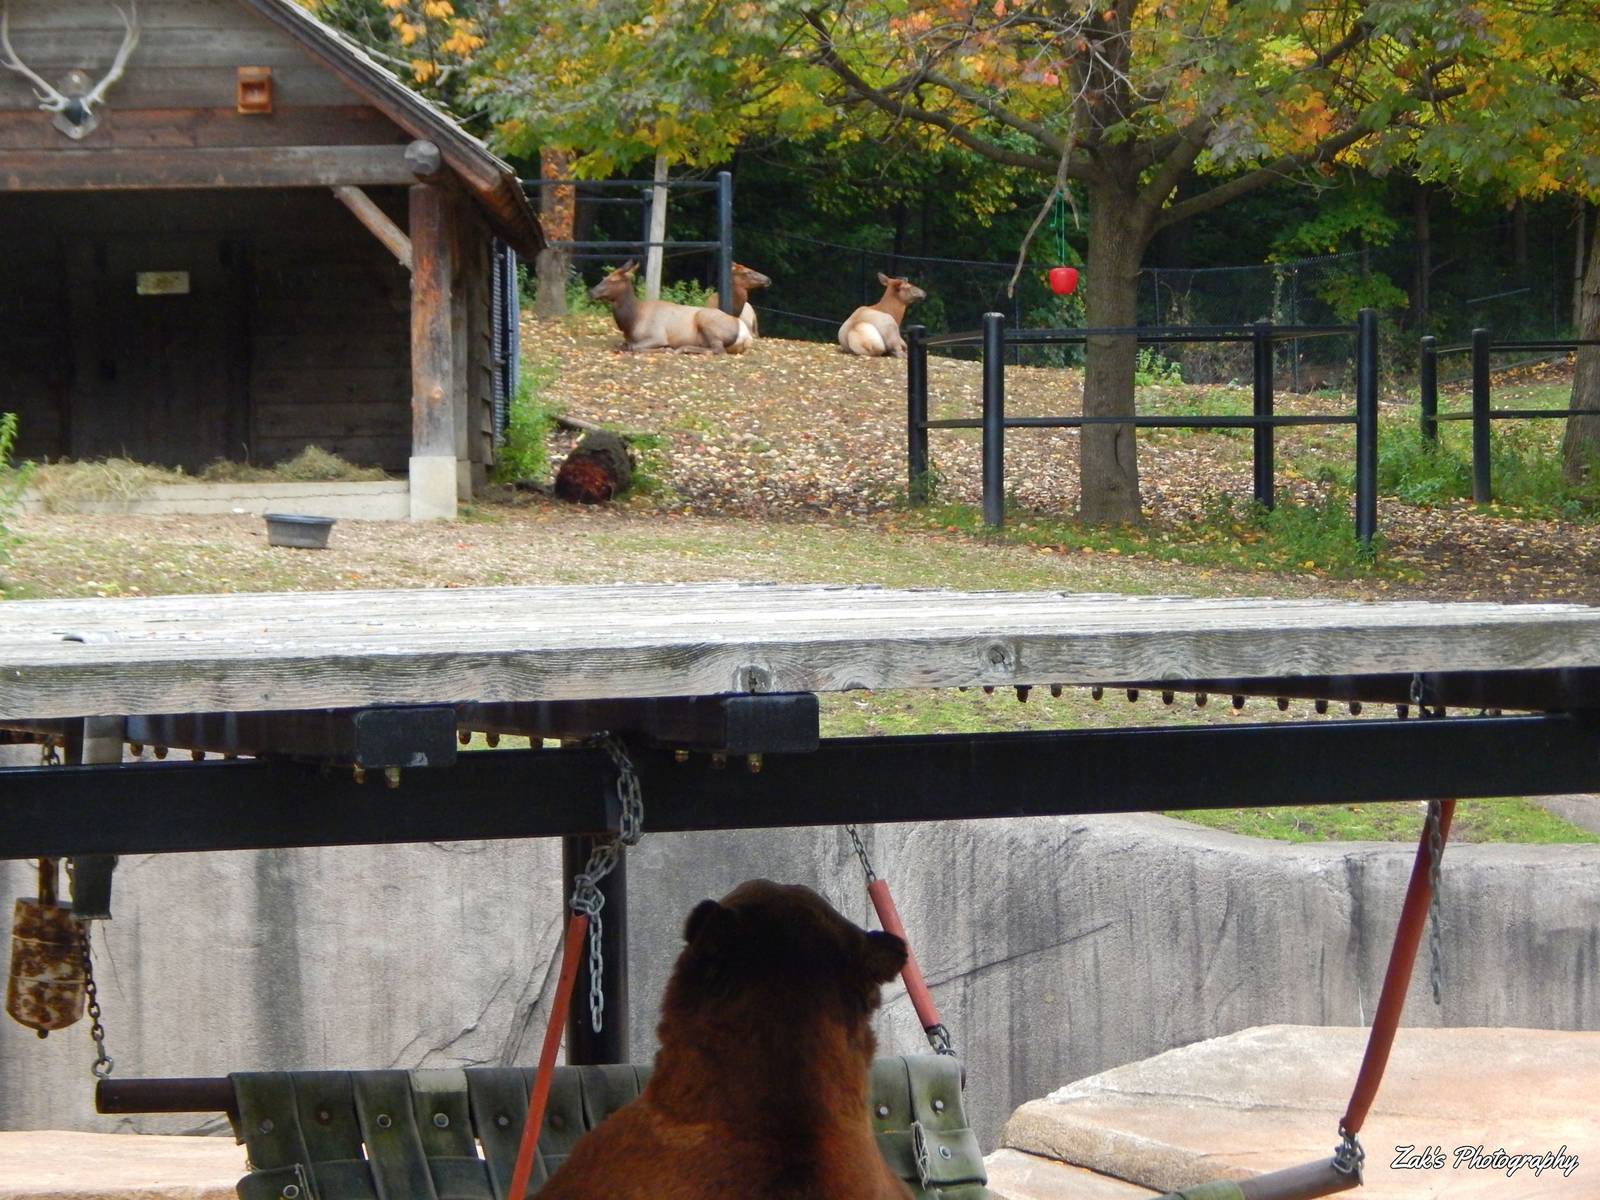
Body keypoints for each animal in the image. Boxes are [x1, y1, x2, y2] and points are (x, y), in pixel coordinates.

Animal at [589, 262, 752, 354]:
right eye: (605, 277)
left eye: (613, 280)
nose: (592, 292)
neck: (632, 322)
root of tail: (746, 336)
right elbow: (622, 345)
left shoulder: (657, 335)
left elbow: (634, 347)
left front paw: (665, 348)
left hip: (707, 321)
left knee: (718, 350)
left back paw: (682, 349)